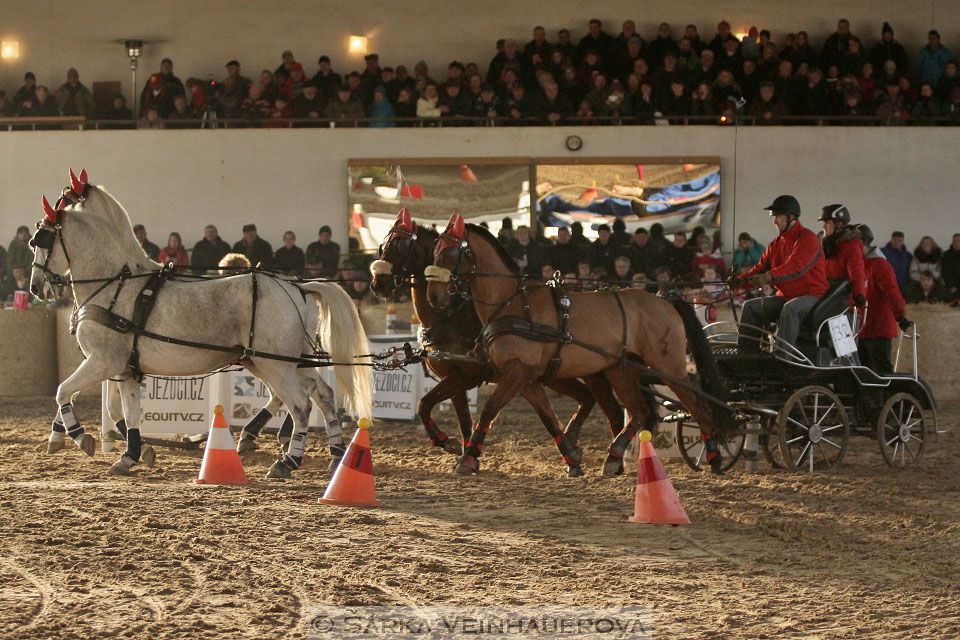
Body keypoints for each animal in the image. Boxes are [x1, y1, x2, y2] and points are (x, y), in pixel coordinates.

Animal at [28, 171, 370, 480]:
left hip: (274, 364)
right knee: (322, 393)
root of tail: (297, 287)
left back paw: (288, 461)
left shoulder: (103, 361)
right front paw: (131, 455)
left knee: (299, 404)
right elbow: (126, 412)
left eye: (40, 239)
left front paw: (74, 437)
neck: (115, 284)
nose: (35, 287)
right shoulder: (125, 368)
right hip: (281, 361)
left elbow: (63, 391)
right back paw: (335, 453)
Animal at [368, 210, 624, 476]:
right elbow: (460, 418)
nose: (377, 285)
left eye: (400, 247)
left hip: (592, 373)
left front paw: (451, 445)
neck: (450, 317)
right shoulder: (458, 378)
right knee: (587, 399)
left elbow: (425, 404)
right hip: (555, 375)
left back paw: (612, 457)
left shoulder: (465, 376)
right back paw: (577, 446)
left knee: (612, 410)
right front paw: (463, 451)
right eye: (383, 246)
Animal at [428, 215, 736, 476]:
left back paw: (714, 458)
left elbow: (490, 409)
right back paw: (613, 458)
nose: (434, 297)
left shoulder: (518, 371)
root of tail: (665, 298)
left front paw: (468, 458)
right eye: (434, 251)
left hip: (668, 366)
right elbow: (548, 417)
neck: (512, 304)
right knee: (639, 411)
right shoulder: (525, 377)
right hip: (621, 371)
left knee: (697, 404)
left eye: (448, 253)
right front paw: (572, 458)